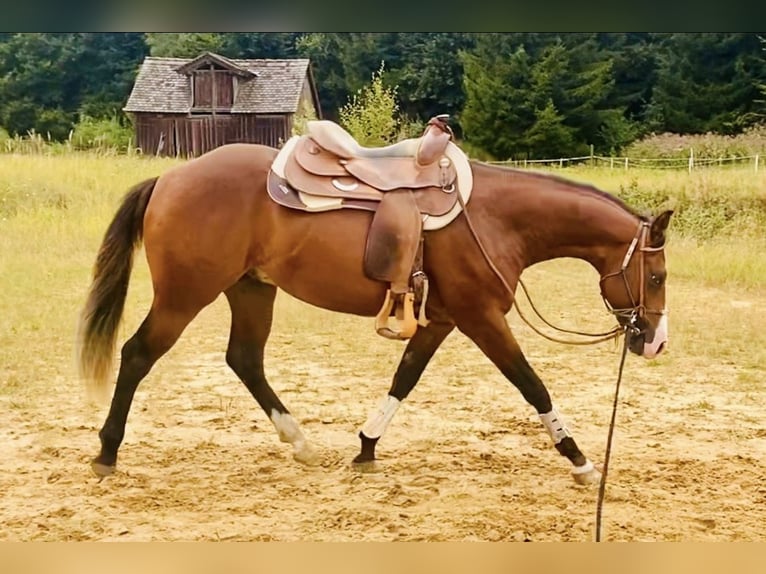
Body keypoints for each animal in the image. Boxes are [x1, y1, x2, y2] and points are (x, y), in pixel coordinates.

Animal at [75, 141, 668, 486]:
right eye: (658, 276)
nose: (655, 342)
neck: (494, 218)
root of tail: (170, 178)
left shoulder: (442, 320)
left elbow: (404, 378)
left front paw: (366, 446)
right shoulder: (480, 318)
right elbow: (531, 383)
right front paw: (581, 460)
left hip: (251, 290)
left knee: (244, 359)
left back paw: (301, 443)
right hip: (185, 294)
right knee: (137, 354)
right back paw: (107, 452)